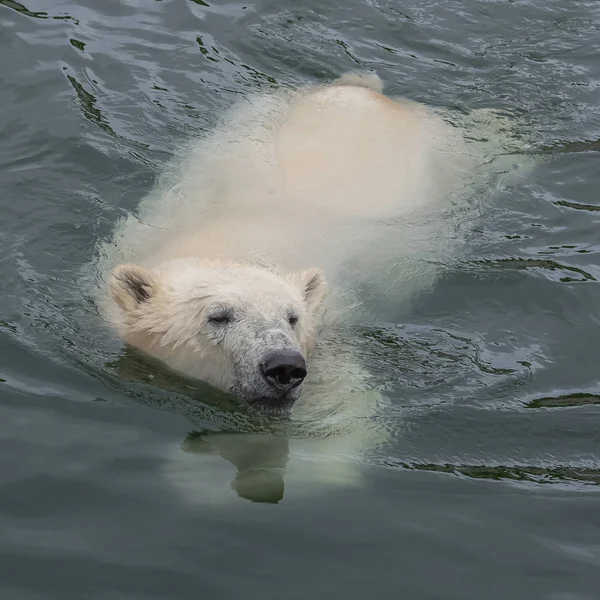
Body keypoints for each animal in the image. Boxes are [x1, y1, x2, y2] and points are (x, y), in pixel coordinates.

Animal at [94, 72, 528, 504]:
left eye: (293, 318)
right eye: (218, 316)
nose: (284, 367)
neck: (228, 246)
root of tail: (365, 90)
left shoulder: (328, 343)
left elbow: (339, 422)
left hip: (449, 154)